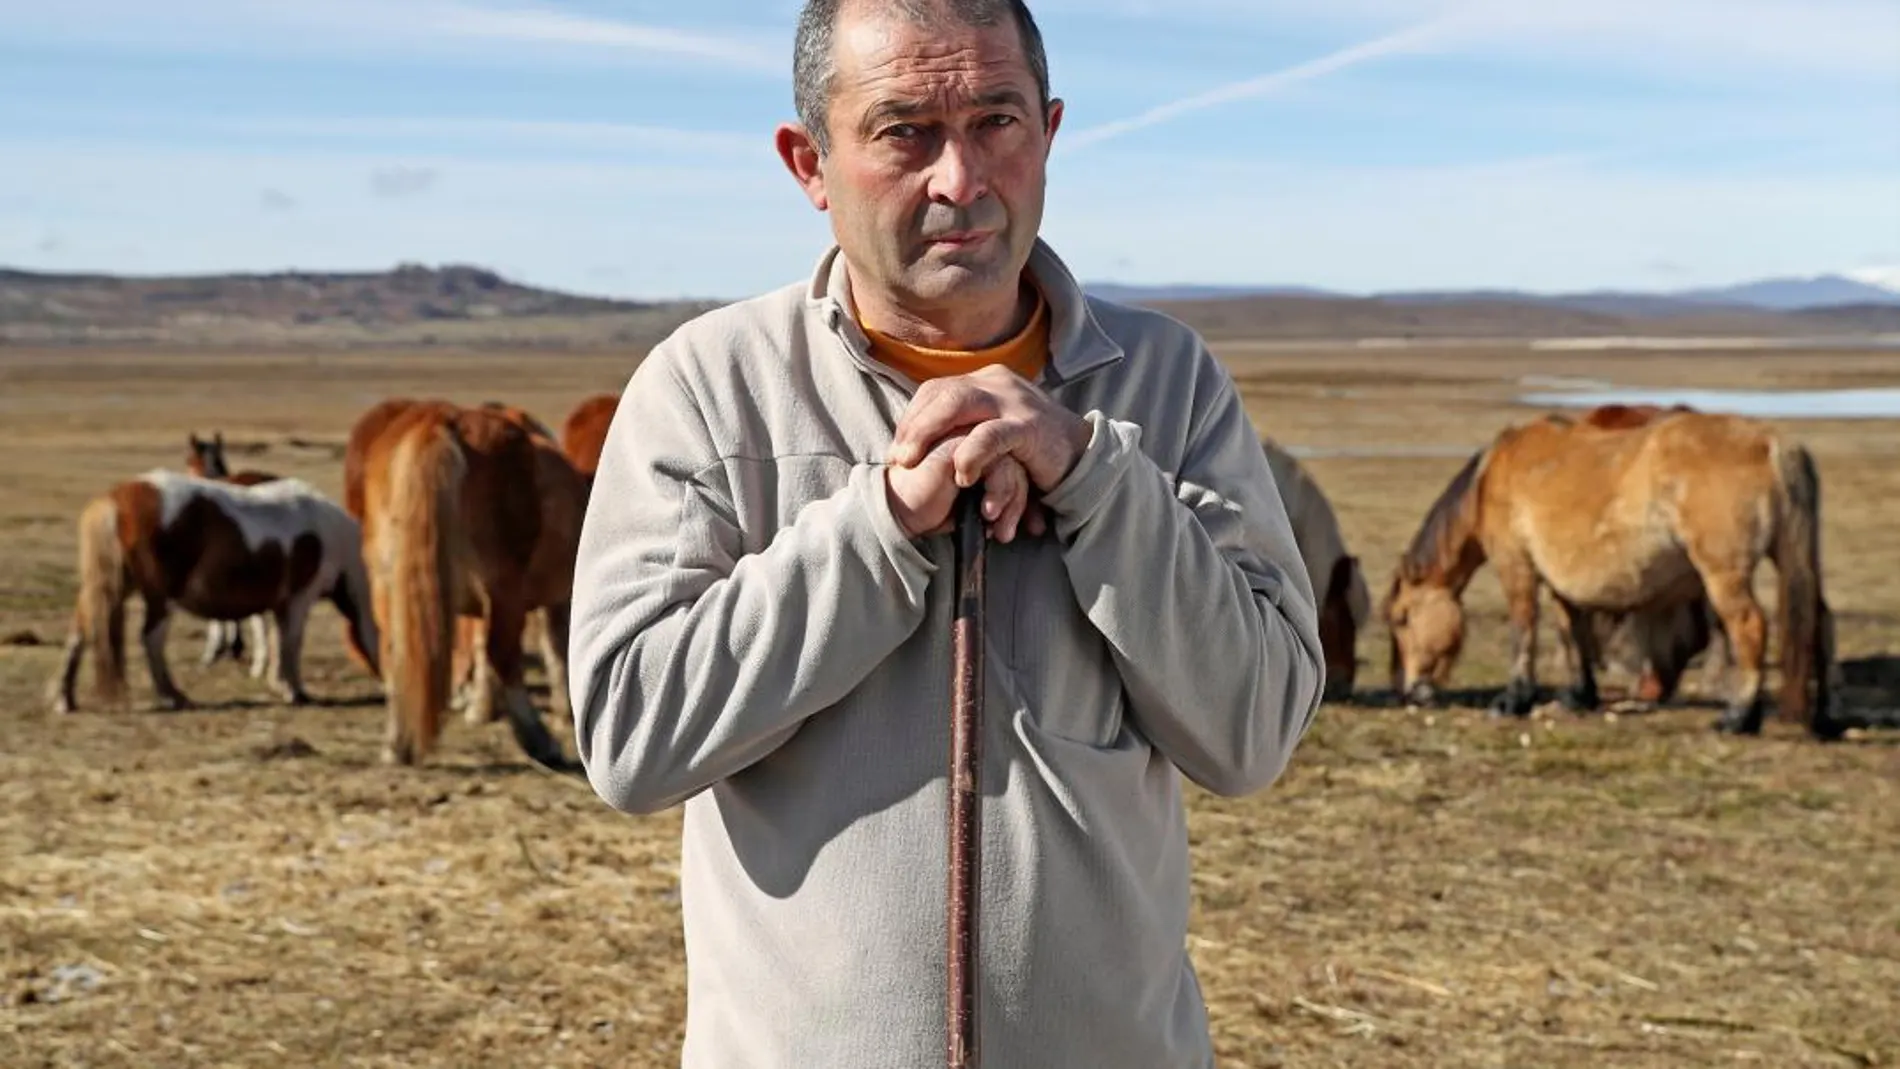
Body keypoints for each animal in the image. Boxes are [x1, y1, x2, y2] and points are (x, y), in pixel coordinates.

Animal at [50, 472, 378, 713]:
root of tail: (116, 498)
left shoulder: (280, 605)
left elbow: (277, 641)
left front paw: (278, 683)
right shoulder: (299, 600)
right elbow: (291, 644)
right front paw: (293, 691)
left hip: (107, 588)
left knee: (79, 633)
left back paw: (65, 699)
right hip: (160, 598)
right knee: (151, 639)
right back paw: (172, 696)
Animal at [343, 396, 577, 774]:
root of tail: (440, 421)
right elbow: (556, 650)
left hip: (388, 583)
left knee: (395, 651)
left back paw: (398, 745)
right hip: (503, 587)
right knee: (504, 653)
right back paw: (539, 741)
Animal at [1383, 406, 1839, 740]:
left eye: (1403, 618)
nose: (1411, 693)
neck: (1494, 476)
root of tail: (1770, 442)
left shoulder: (1517, 567)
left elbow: (1523, 629)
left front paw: (1513, 699)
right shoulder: (1559, 582)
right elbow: (1571, 632)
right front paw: (1577, 695)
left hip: (1723, 575)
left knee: (1749, 626)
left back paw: (1737, 718)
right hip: (1791, 558)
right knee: (1818, 621)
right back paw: (1822, 717)